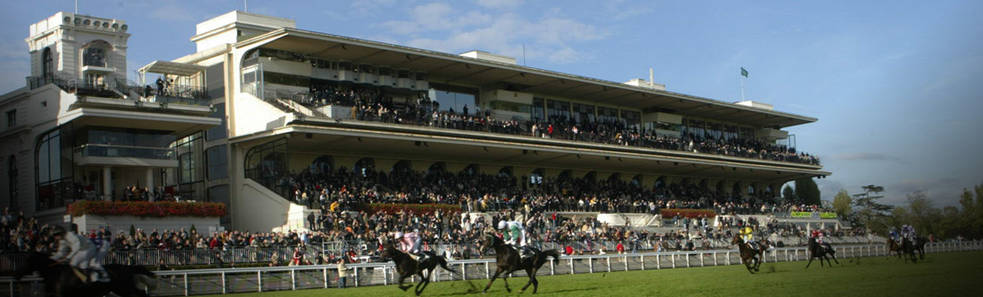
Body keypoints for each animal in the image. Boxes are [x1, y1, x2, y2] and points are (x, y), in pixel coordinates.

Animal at [13, 250, 157, 296]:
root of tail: (127, 267)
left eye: (26, 261)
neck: (56, 274)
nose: (16, 274)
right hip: (122, 289)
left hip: (124, 288)